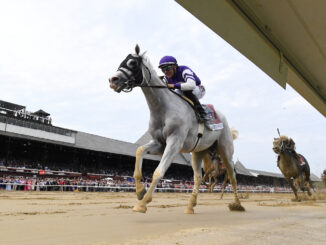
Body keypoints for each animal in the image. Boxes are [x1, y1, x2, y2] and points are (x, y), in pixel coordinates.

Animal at [109, 45, 244, 213]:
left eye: (132, 63)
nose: (112, 80)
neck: (164, 109)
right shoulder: (160, 143)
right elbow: (139, 151)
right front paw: (140, 191)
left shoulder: (174, 142)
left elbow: (158, 171)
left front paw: (143, 203)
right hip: (198, 151)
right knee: (198, 177)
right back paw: (190, 206)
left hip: (225, 149)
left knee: (232, 176)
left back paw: (237, 204)